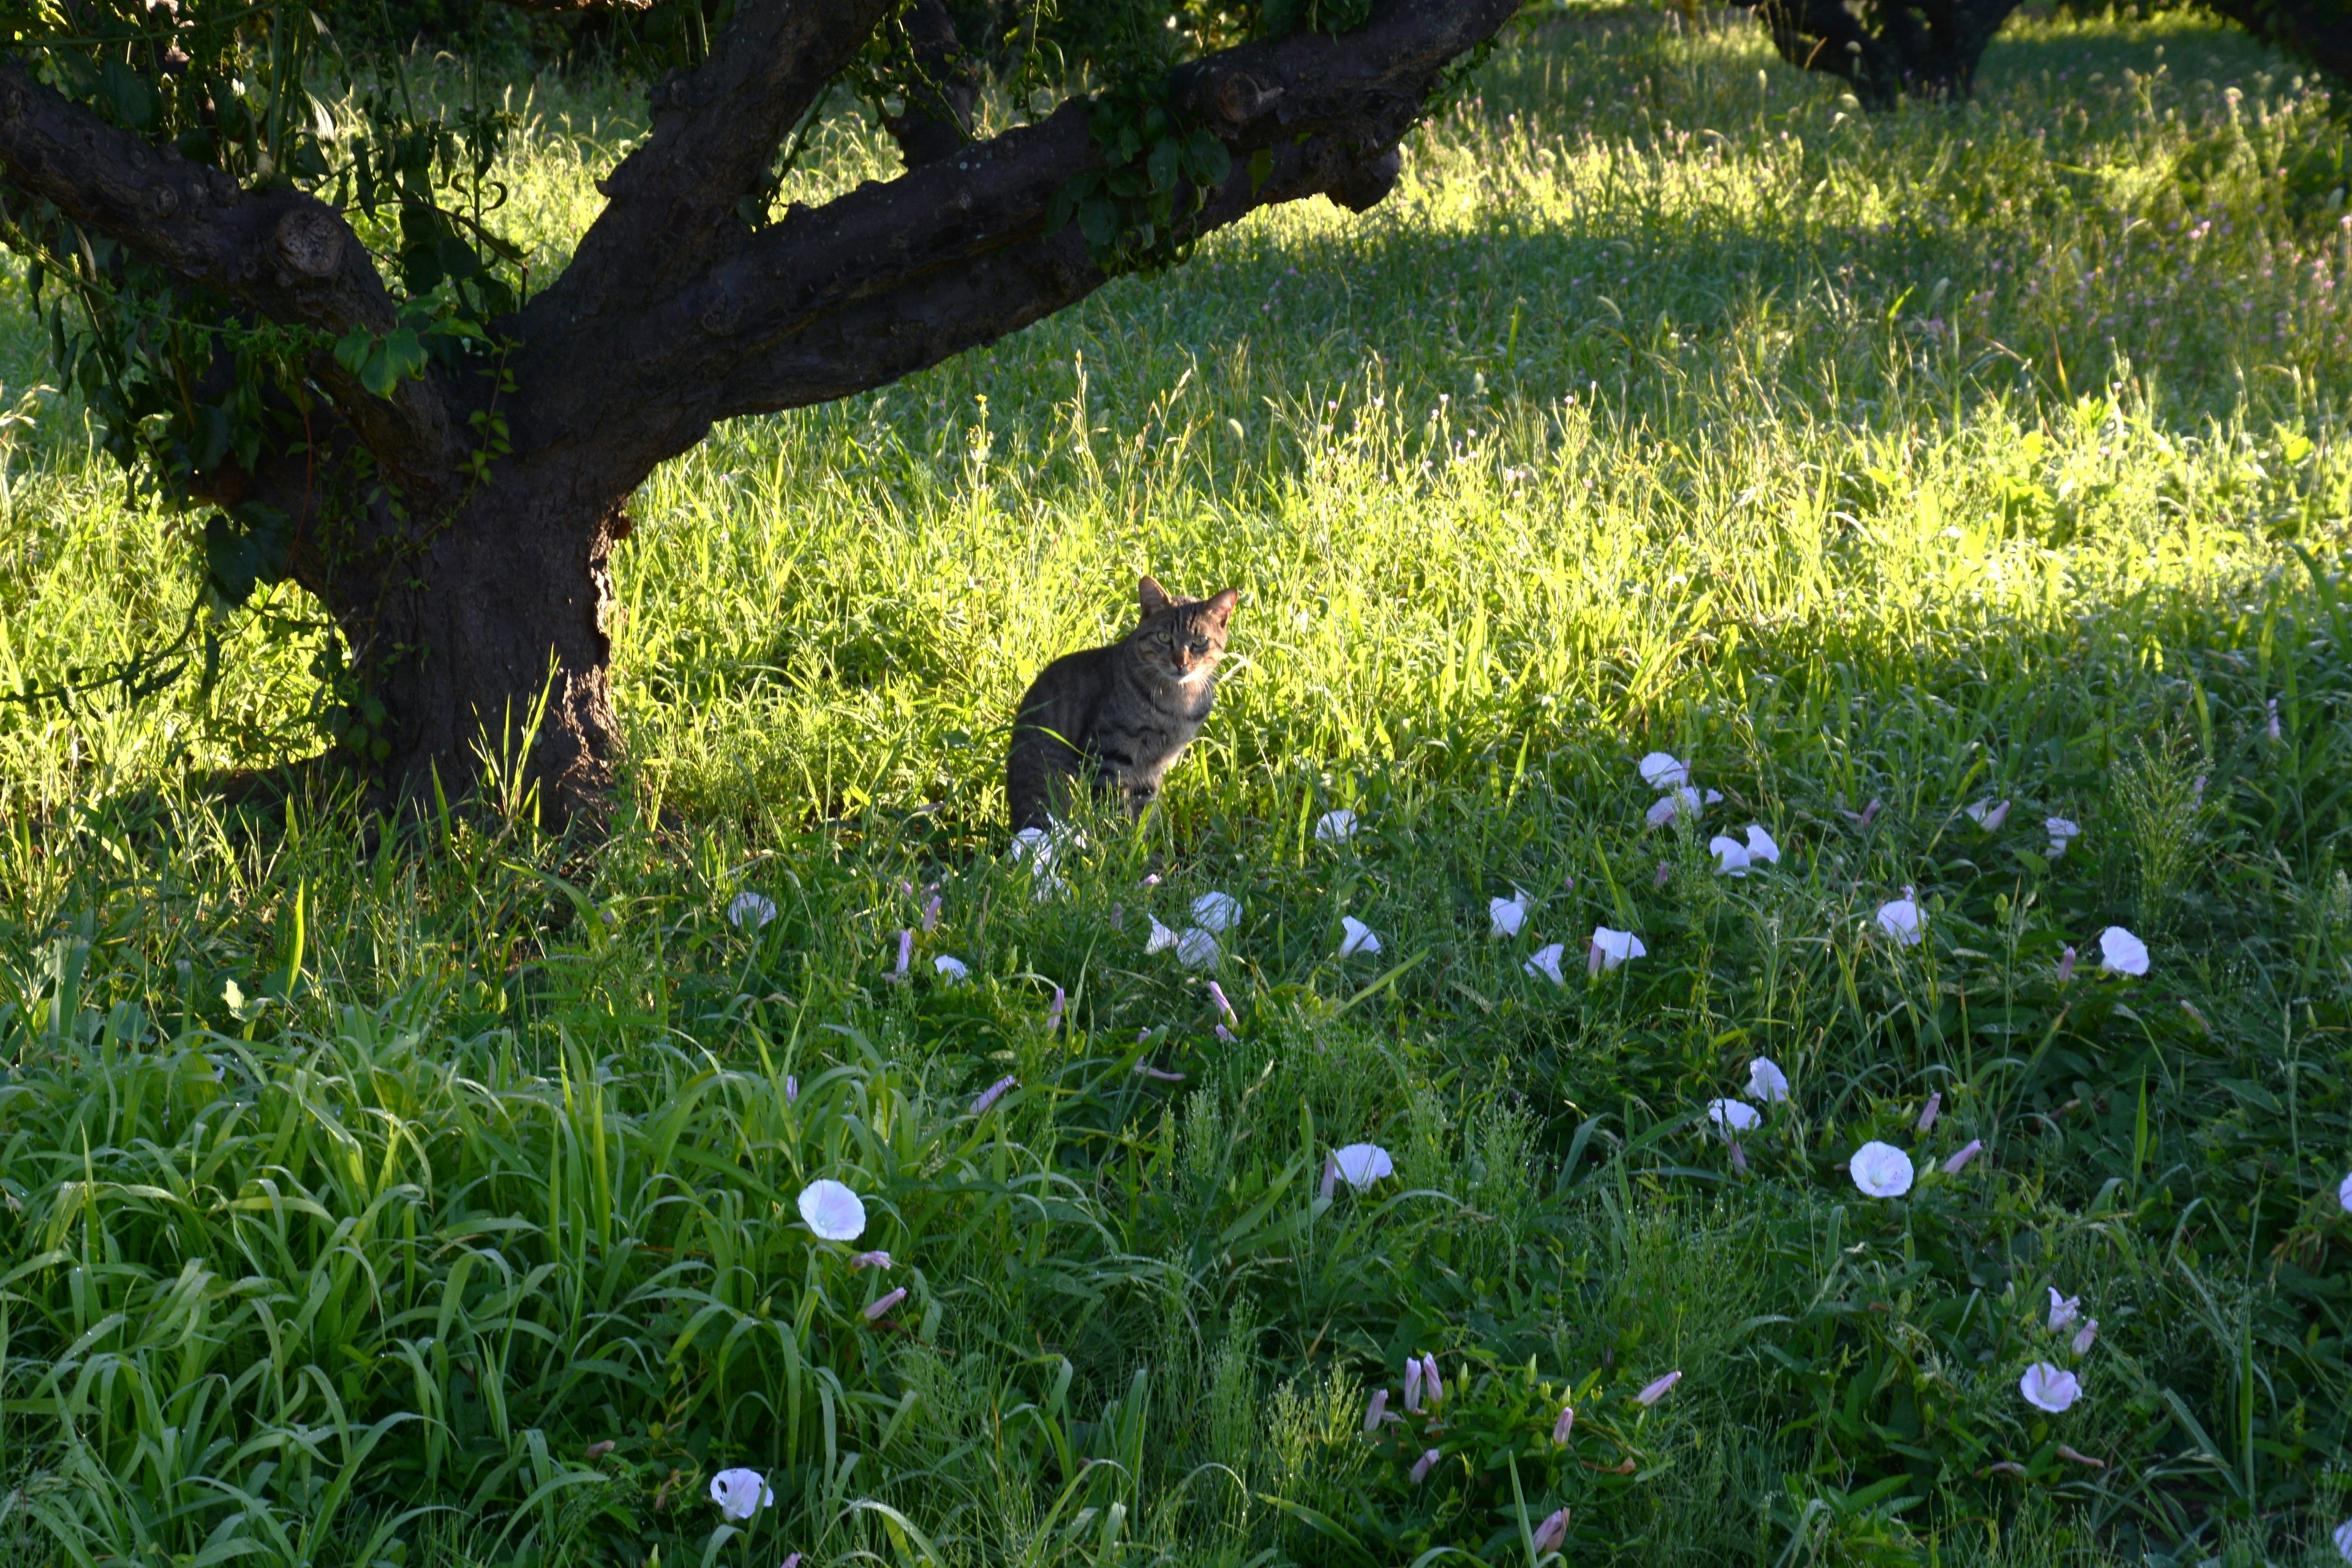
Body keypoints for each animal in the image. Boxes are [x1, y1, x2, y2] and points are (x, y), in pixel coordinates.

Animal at [1001, 576, 1242, 832]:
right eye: (1164, 637)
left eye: (1200, 641)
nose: (1181, 663)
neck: (1177, 704)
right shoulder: (1109, 754)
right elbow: (1114, 809)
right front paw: (1119, 838)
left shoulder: (1152, 768)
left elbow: (1141, 810)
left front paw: (1139, 840)